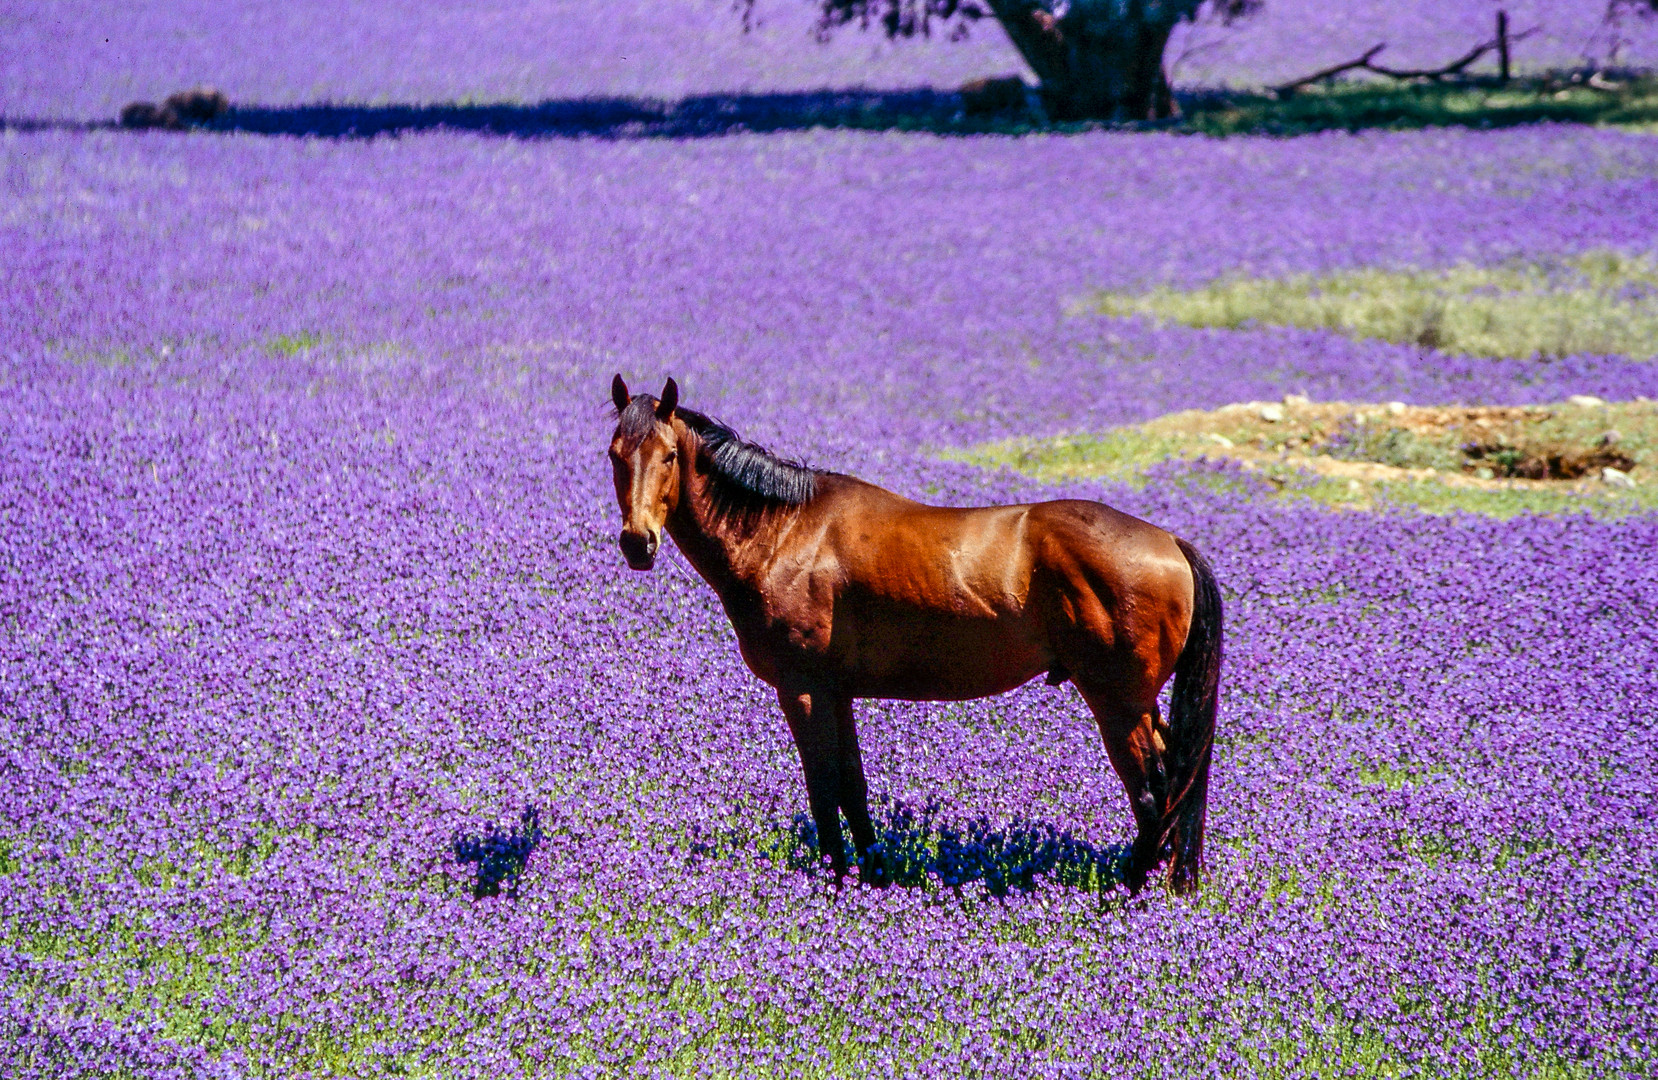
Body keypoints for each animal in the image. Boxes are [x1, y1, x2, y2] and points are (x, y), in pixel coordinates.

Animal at [610, 376, 1220, 889]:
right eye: (616, 455)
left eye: (669, 456)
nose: (638, 543)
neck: (786, 534)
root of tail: (1170, 543)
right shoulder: (835, 692)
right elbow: (851, 786)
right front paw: (872, 876)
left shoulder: (802, 689)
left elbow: (823, 785)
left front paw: (836, 879)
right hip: (1141, 705)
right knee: (1177, 781)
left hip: (1118, 704)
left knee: (1155, 794)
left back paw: (1126, 892)